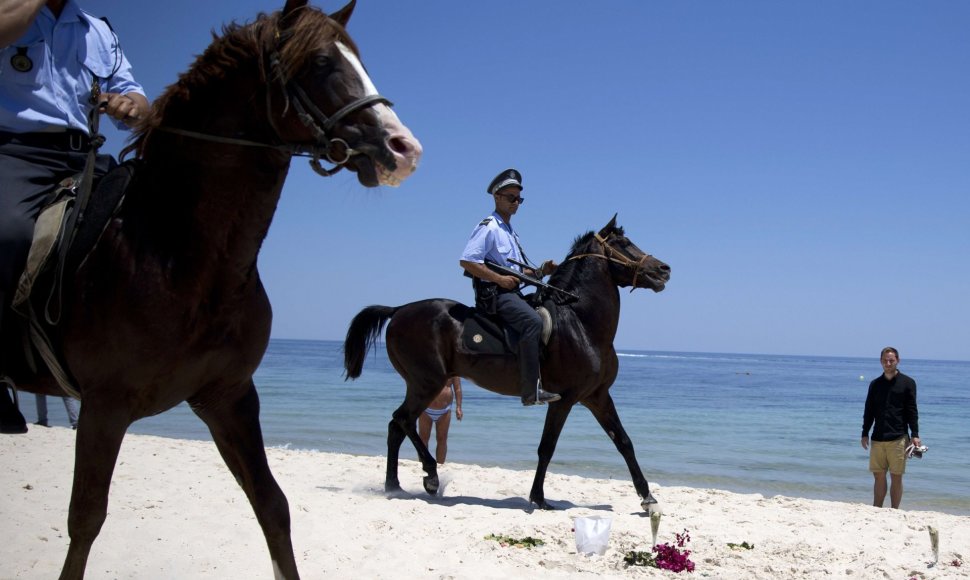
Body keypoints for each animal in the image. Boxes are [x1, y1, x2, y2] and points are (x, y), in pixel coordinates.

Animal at [3, 2, 420, 576]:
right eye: (320, 62)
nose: (404, 150)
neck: (176, 254)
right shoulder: (104, 406)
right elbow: (85, 518)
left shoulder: (229, 398)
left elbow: (272, 506)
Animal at [344, 219, 668, 516]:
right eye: (623, 244)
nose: (664, 269)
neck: (580, 321)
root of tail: (398, 310)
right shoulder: (563, 400)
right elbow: (547, 447)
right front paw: (539, 498)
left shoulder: (597, 396)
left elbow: (624, 442)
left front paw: (648, 498)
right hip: (426, 383)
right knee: (402, 420)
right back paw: (430, 477)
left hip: (422, 384)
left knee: (397, 426)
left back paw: (394, 485)